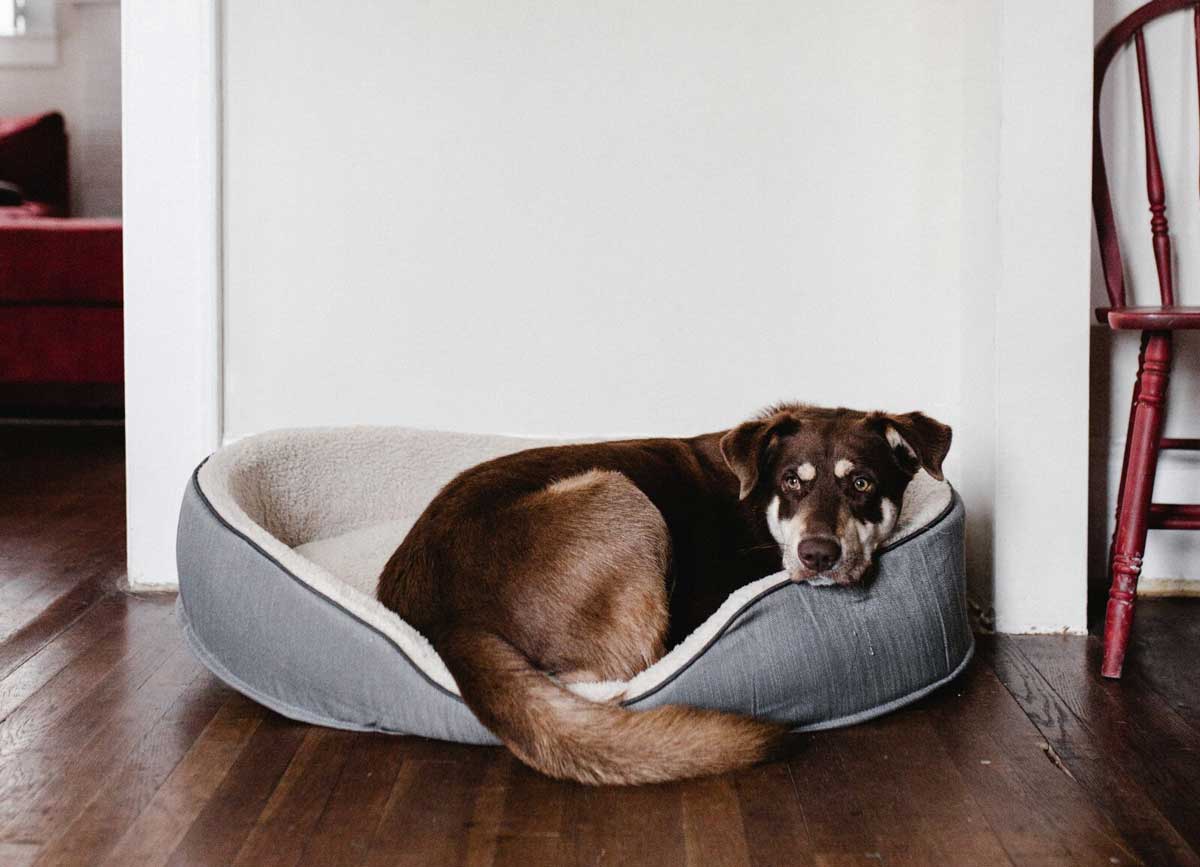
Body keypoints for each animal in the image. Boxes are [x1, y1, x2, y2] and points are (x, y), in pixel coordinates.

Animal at [374, 403, 945, 782]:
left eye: (863, 483)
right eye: (791, 481)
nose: (818, 554)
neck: (759, 505)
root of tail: (442, 616)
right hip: (621, 496)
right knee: (629, 670)